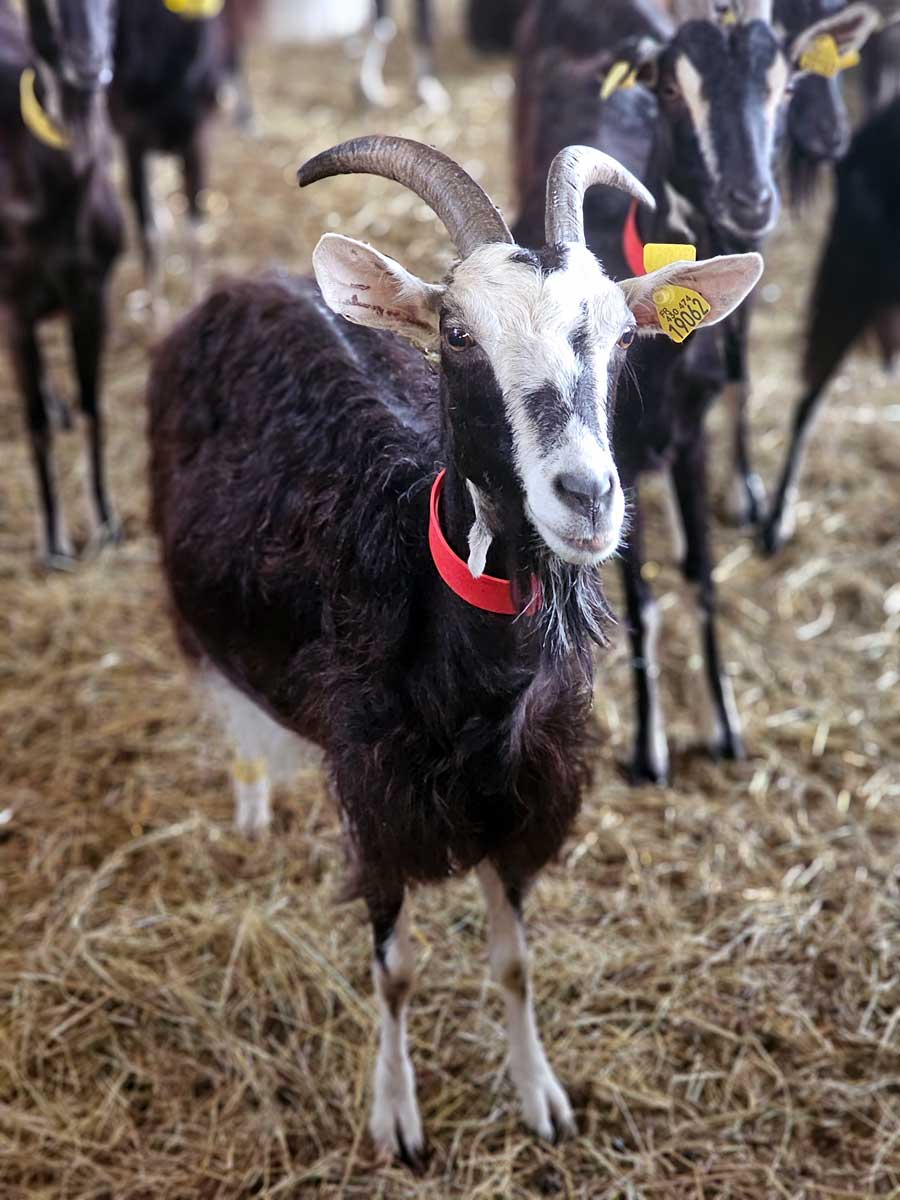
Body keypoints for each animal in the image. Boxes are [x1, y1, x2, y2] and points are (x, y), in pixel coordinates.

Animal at [148, 134, 760, 1163]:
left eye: (623, 338)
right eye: (459, 336)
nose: (587, 497)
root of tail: (245, 286)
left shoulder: (522, 794)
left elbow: (513, 963)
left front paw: (539, 1092)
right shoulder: (376, 793)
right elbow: (394, 971)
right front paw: (396, 1117)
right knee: (223, 696)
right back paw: (251, 802)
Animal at [514, 0, 873, 784]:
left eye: (785, 86)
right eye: (672, 90)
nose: (750, 199)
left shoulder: (690, 431)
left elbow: (704, 576)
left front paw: (725, 725)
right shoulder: (616, 451)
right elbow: (644, 597)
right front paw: (650, 747)